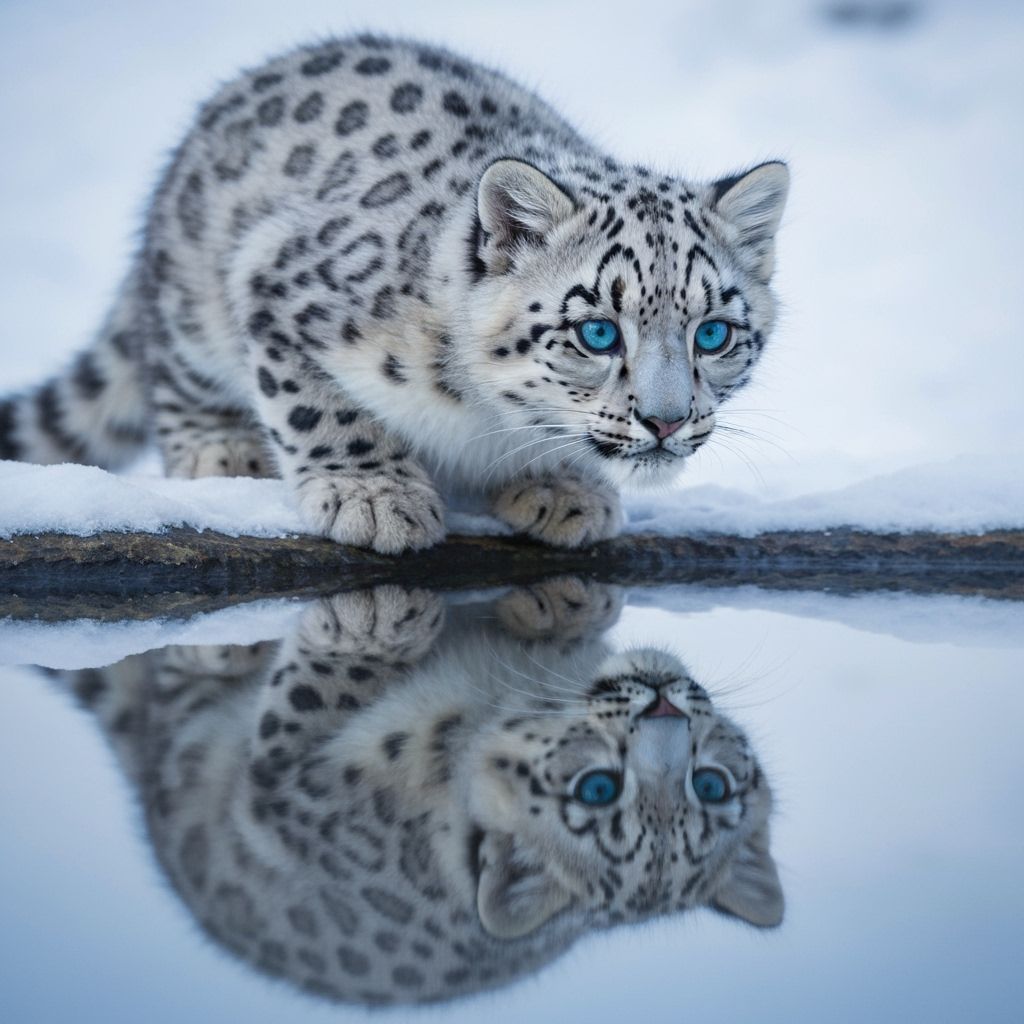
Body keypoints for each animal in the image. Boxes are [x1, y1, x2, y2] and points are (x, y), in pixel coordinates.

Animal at [0, 33, 789, 553]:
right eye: (597, 331)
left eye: (712, 332)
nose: (665, 421)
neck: (484, 422)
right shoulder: (276, 281)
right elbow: (318, 407)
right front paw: (374, 497)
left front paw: (564, 488)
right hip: (193, 299)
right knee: (173, 366)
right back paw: (220, 447)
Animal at [48, 579, 783, 1007]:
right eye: (714, 784)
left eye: (595, 788)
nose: (664, 708)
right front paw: (568, 598)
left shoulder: (283, 784)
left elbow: (310, 695)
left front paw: (373, 619)